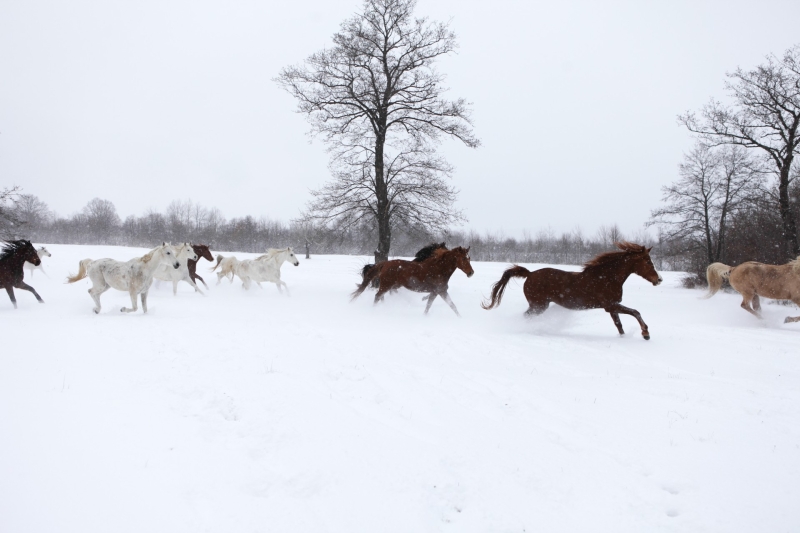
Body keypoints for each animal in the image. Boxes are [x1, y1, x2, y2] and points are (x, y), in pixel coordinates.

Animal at [482, 240, 664, 336]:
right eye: (648, 262)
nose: (659, 279)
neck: (607, 278)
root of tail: (530, 274)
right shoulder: (610, 305)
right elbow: (635, 312)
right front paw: (646, 333)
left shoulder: (612, 307)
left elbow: (619, 325)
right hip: (538, 305)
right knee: (526, 317)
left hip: (539, 305)